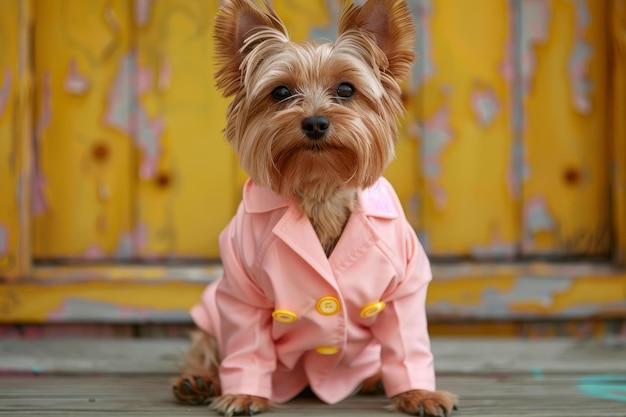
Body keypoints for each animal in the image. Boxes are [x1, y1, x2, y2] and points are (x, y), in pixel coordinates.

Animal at [171, 1, 454, 414]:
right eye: (281, 92)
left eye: (346, 89)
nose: (316, 122)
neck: (319, 187)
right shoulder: (241, 289)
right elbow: (246, 344)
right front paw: (245, 393)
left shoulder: (404, 286)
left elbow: (406, 341)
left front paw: (418, 394)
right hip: (212, 316)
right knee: (206, 346)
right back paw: (198, 381)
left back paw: (373, 378)